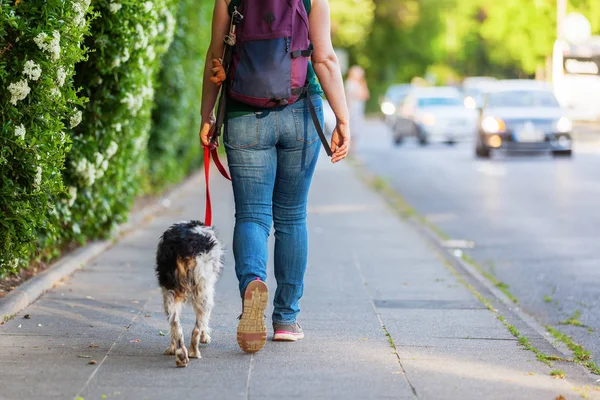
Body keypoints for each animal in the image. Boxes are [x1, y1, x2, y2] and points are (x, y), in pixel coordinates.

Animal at [155, 220, 223, 368]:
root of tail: (182, 244)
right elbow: (205, 321)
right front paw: (205, 337)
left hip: (169, 291)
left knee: (175, 323)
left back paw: (180, 354)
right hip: (203, 290)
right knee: (196, 327)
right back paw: (193, 352)